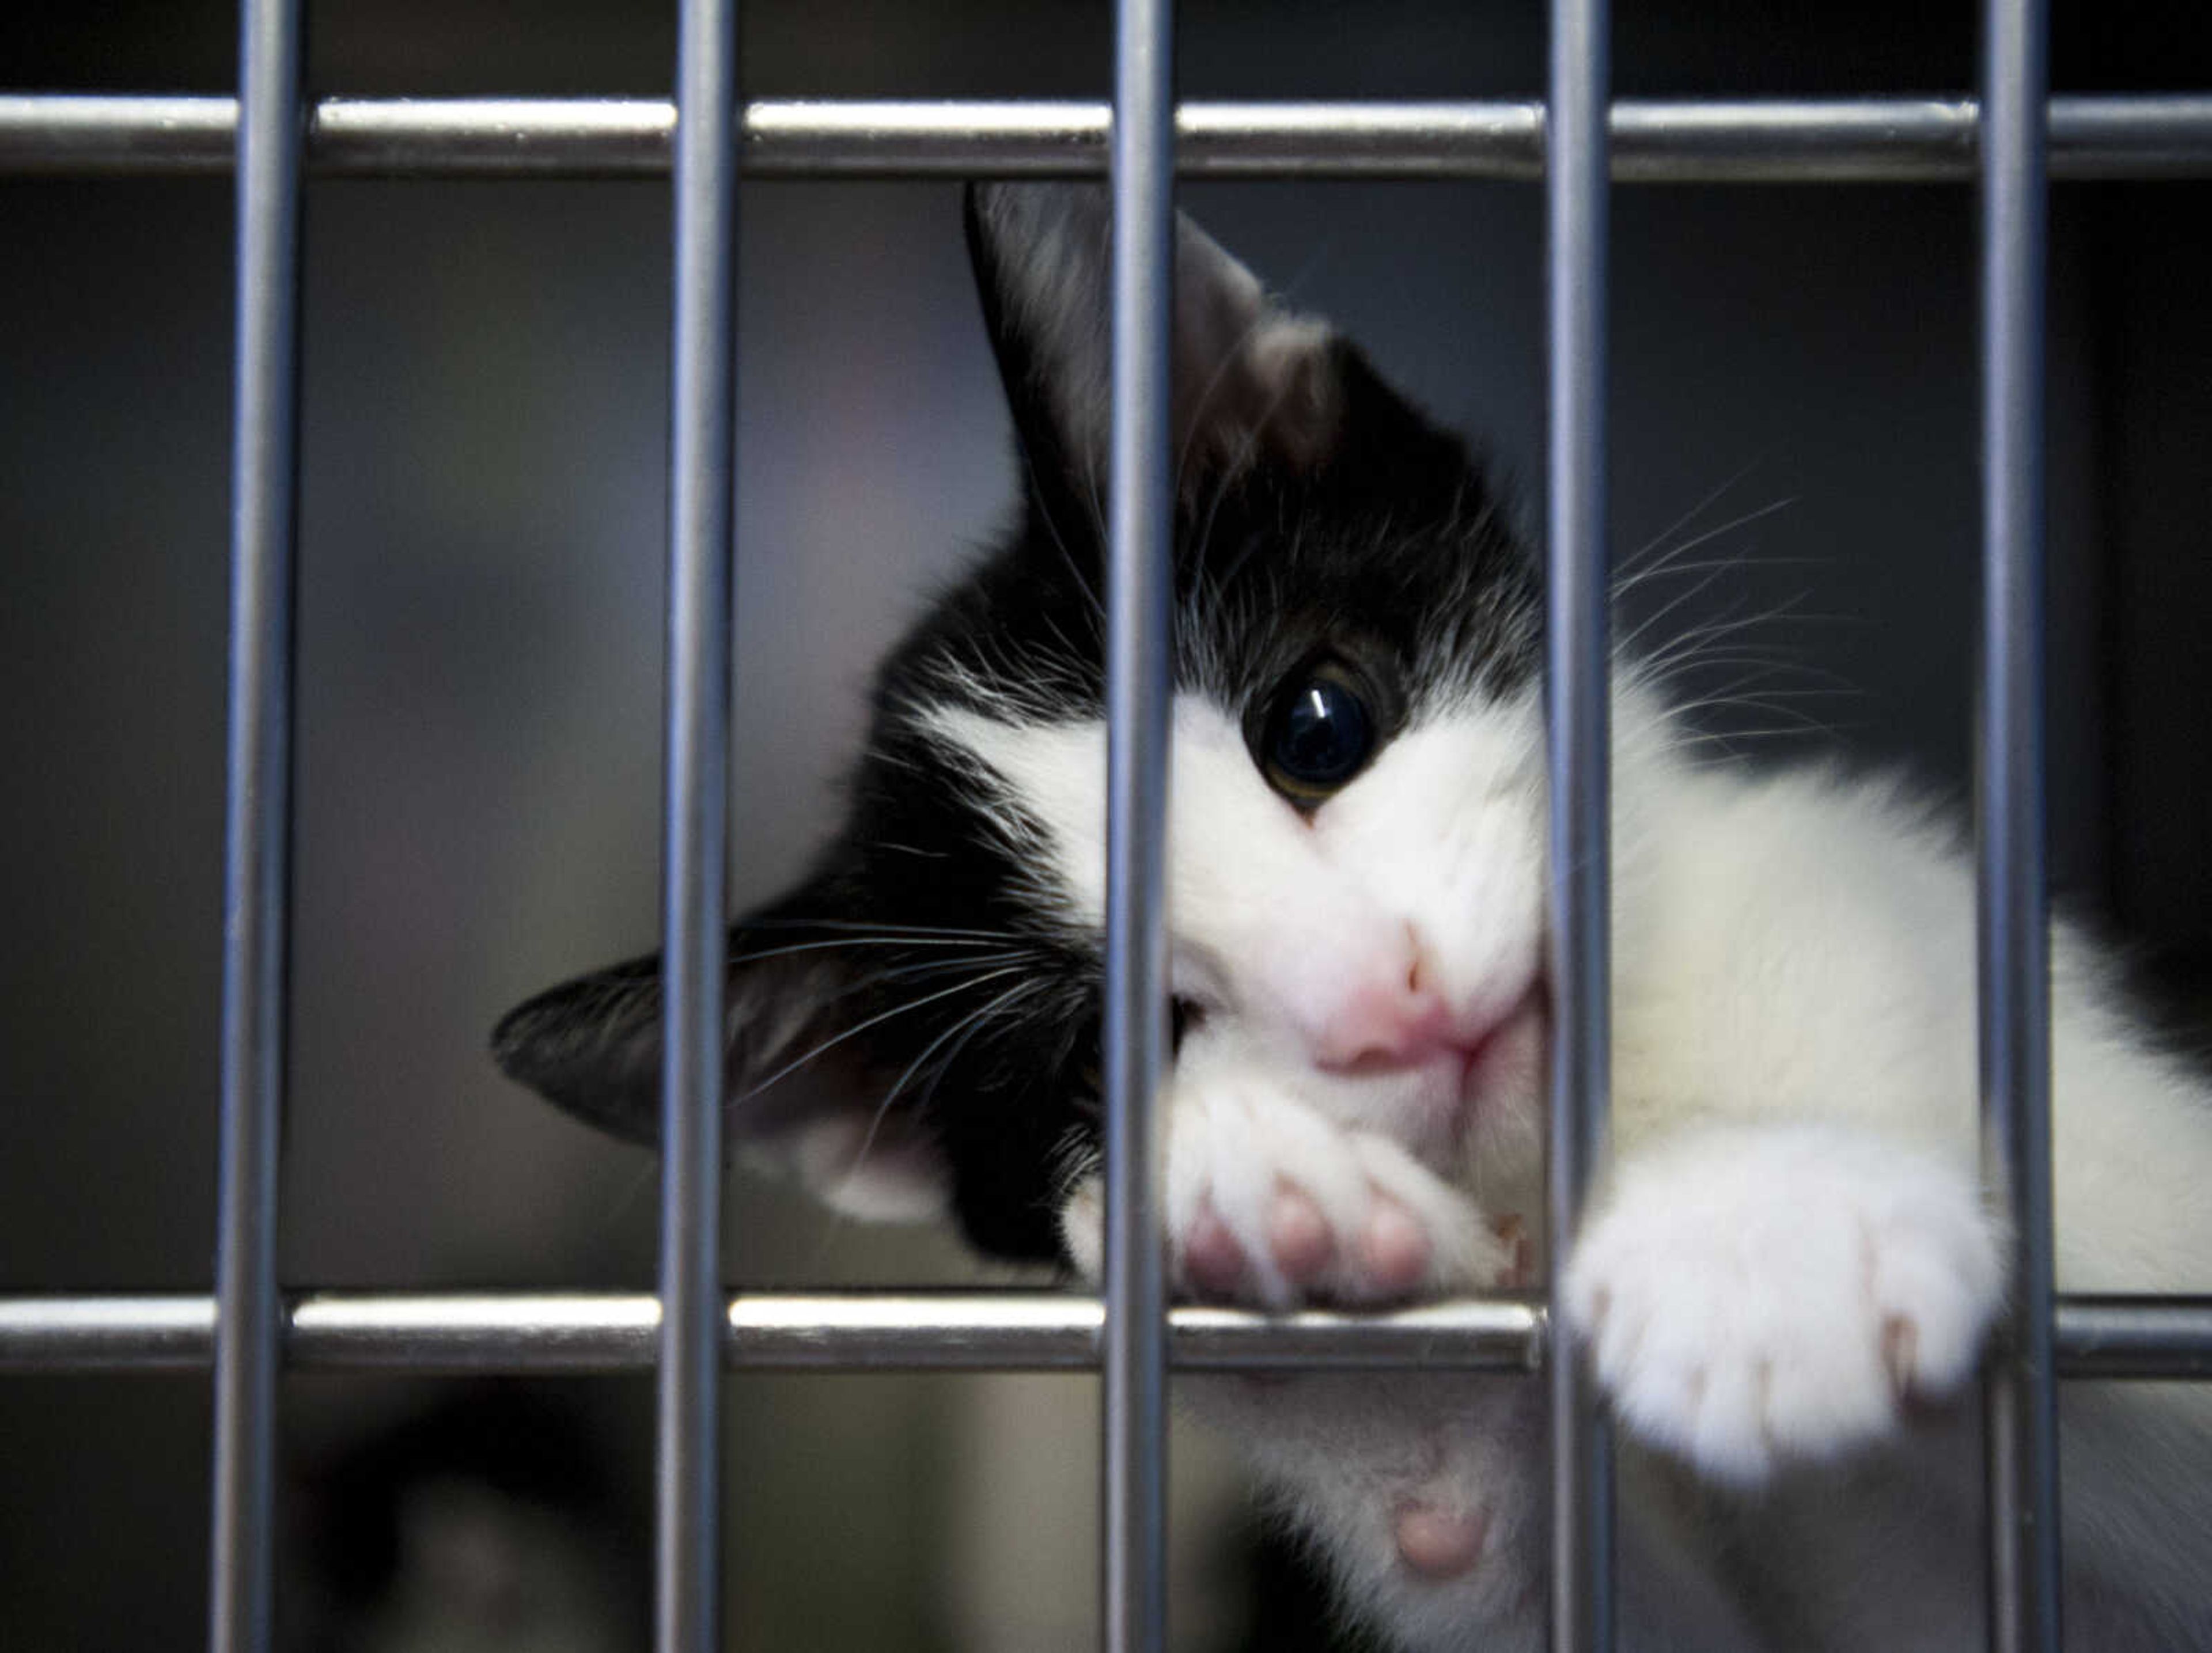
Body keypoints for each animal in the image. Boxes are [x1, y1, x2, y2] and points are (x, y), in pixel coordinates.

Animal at [498, 184, 2212, 1653]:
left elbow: (2133, 1319)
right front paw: (1286, 1257)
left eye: (1315, 723)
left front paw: (1760, 1222)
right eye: (1115, 1044)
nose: (1391, 999)